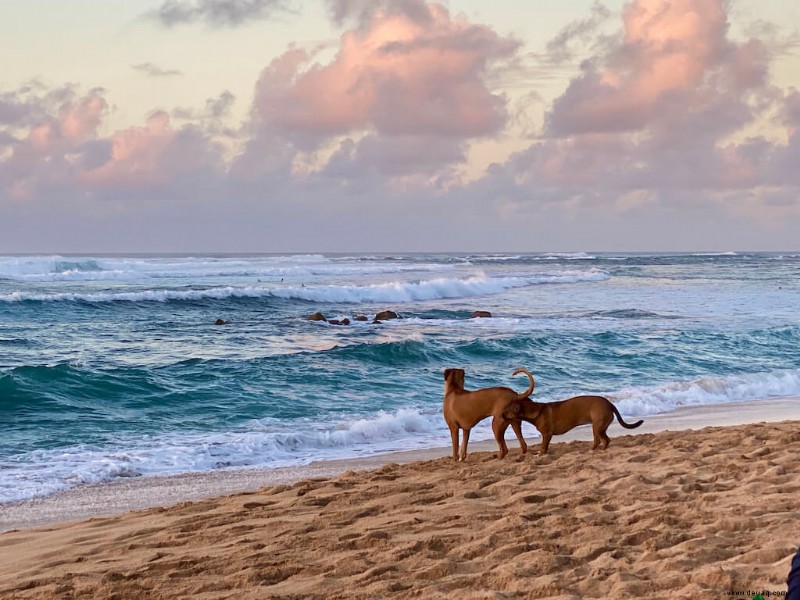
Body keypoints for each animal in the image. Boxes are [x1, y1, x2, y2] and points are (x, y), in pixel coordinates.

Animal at [500, 396, 644, 458]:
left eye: (506, 411)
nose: (501, 415)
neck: (536, 411)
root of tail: (610, 404)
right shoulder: (548, 436)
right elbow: (545, 447)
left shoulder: (546, 434)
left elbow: (542, 447)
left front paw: (540, 455)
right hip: (598, 427)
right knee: (601, 440)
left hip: (597, 426)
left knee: (604, 440)